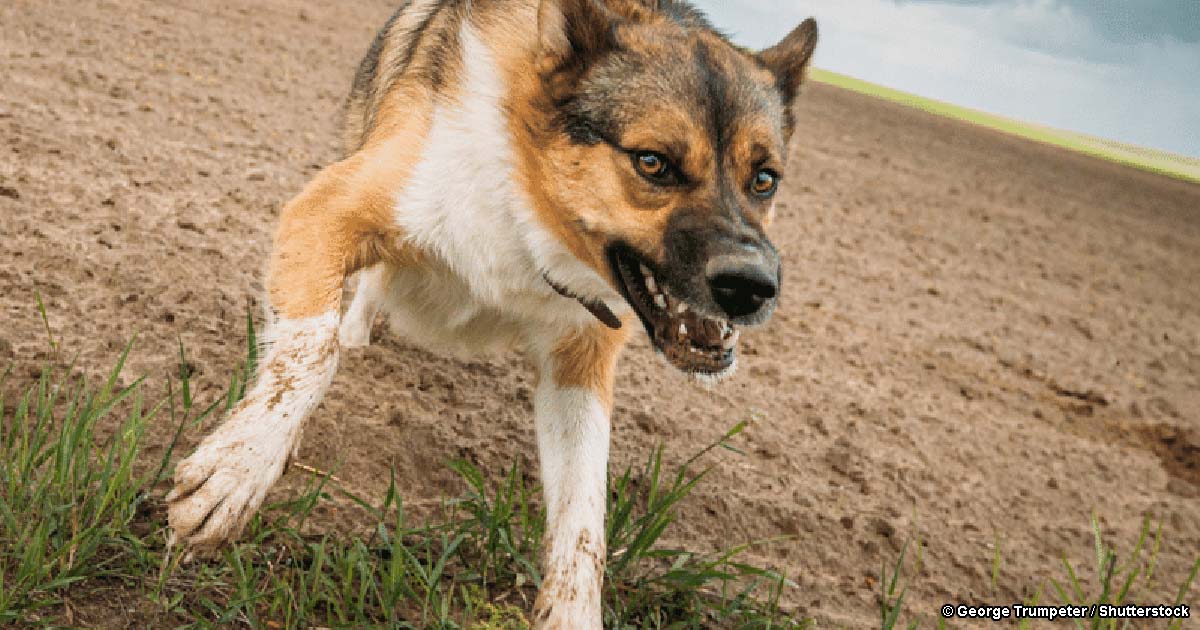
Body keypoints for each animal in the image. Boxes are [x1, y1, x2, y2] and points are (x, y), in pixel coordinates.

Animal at [166, 1, 816, 624]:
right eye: (653, 162)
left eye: (764, 179)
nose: (754, 286)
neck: (528, 206)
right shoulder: (328, 211)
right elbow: (308, 353)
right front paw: (240, 469)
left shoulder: (580, 360)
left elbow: (585, 510)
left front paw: (572, 611)